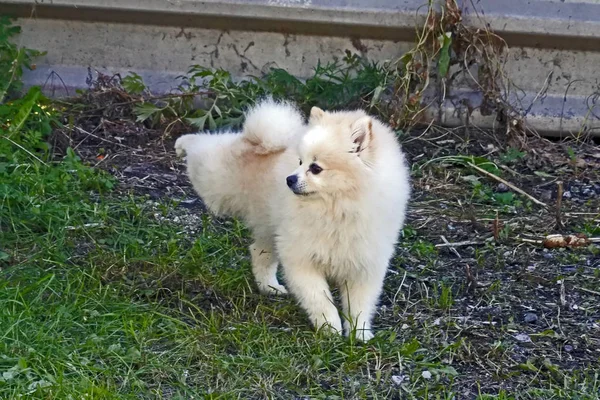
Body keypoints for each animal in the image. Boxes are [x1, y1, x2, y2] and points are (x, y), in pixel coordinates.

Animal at [173, 98, 408, 340]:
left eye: (315, 168)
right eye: (300, 161)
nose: (289, 179)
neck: (337, 209)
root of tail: (255, 141)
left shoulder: (364, 265)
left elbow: (360, 305)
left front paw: (359, 333)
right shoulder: (302, 259)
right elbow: (320, 299)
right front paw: (330, 327)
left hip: (271, 228)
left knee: (259, 252)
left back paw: (270, 287)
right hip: (215, 181)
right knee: (203, 146)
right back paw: (184, 143)